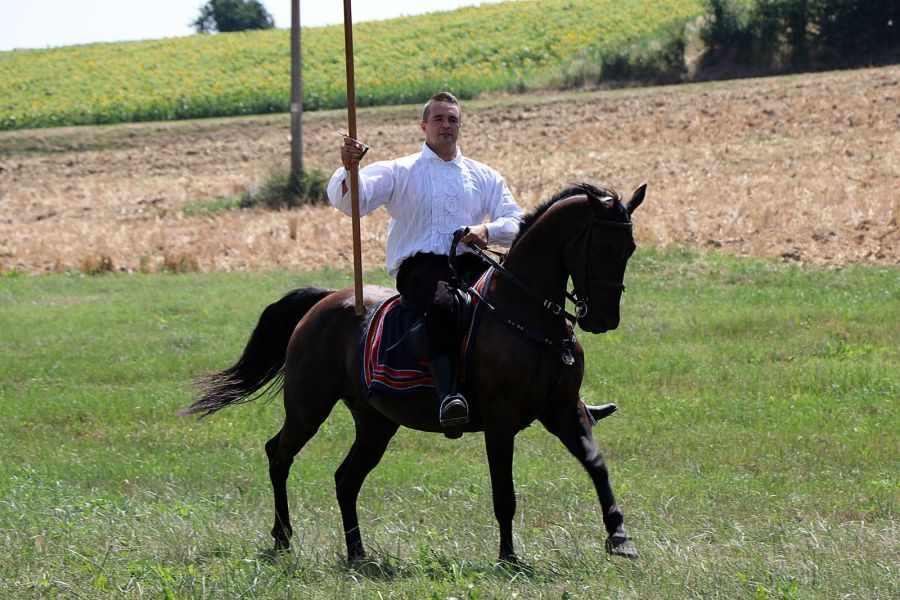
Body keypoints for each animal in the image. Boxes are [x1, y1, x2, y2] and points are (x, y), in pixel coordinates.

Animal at [185, 182, 648, 564]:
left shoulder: (564, 411)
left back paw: (357, 554)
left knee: (345, 479)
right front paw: (509, 558)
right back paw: (283, 537)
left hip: (375, 423)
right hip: (307, 408)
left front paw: (620, 537)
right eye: (602, 248)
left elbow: (597, 465)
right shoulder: (501, 421)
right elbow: (505, 493)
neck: (526, 314)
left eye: (630, 248)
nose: (604, 320)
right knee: (278, 455)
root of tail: (324, 301)